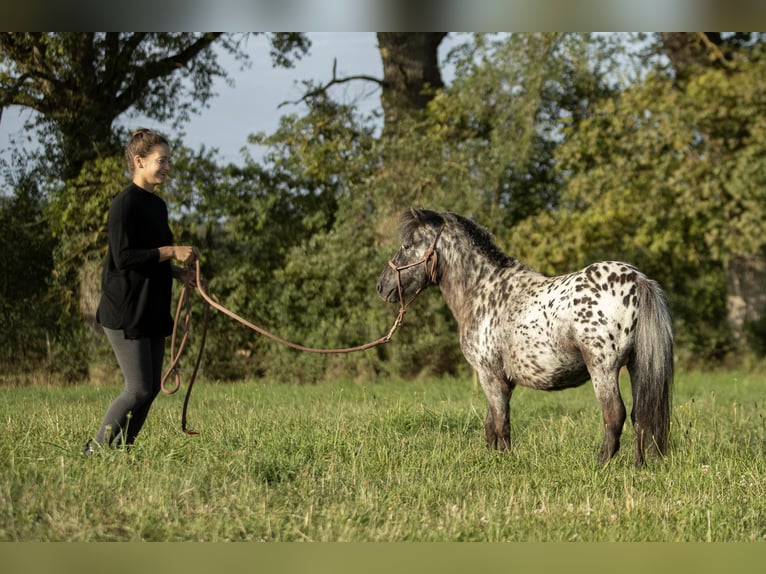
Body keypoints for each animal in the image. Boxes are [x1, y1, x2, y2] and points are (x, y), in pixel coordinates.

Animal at [376, 212, 672, 468]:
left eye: (406, 245)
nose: (382, 286)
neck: (484, 290)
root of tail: (638, 280)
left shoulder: (488, 374)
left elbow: (500, 423)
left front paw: (505, 461)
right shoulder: (499, 379)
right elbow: (491, 423)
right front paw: (493, 457)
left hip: (603, 368)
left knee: (614, 415)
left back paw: (599, 464)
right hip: (636, 365)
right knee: (640, 415)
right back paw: (638, 466)